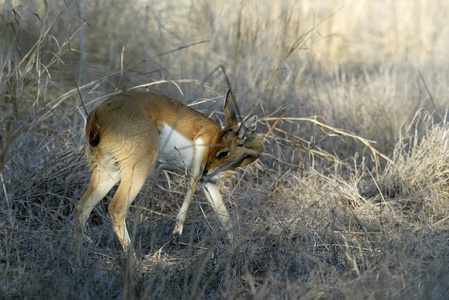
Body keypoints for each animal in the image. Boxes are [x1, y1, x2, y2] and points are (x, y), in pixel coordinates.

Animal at [73, 90, 262, 262]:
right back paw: (135, 264)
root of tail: (97, 115)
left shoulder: (208, 183)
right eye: (222, 152)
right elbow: (192, 184)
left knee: (82, 207)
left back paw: (78, 260)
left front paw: (237, 251)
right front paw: (178, 229)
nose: (208, 169)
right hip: (137, 170)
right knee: (116, 208)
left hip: (108, 173)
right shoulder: (202, 148)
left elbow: (224, 217)